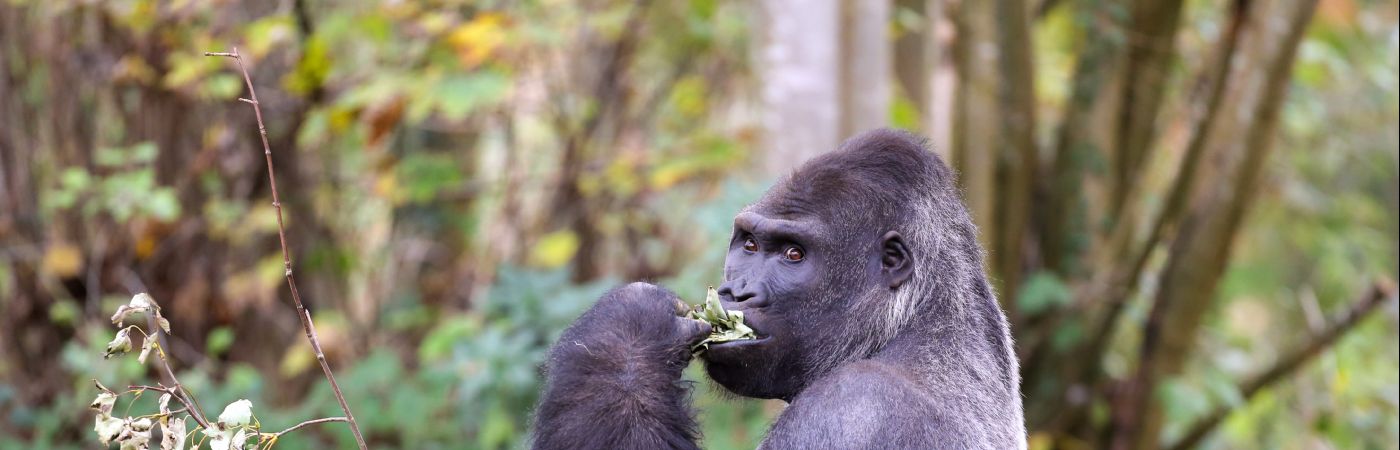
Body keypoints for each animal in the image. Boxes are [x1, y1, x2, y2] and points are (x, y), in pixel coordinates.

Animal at [529, 127, 1024, 445]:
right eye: (749, 244)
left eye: (793, 255)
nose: (737, 293)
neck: (914, 320)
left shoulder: (855, 408)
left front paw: (628, 331)